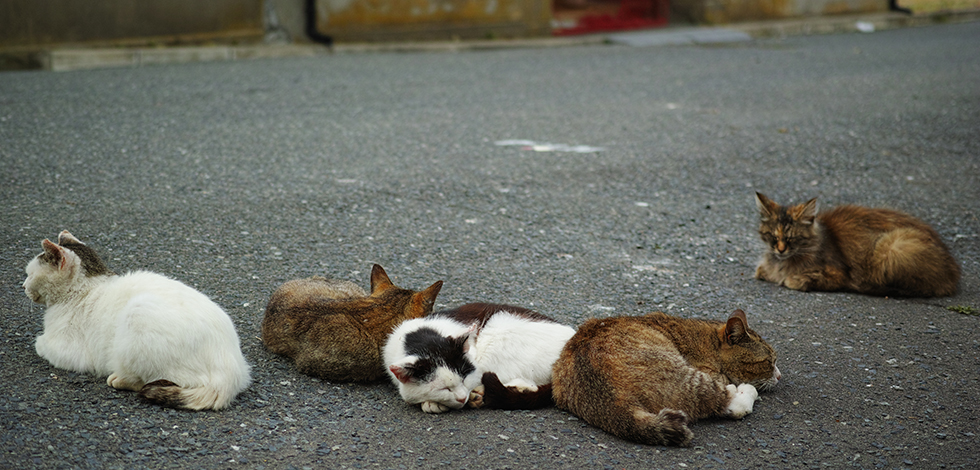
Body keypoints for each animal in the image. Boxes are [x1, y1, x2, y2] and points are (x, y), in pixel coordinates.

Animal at [24, 231, 253, 412]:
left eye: (30, 274)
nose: (23, 285)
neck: (86, 287)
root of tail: (231, 374)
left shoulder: (68, 351)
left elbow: (39, 343)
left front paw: (38, 341)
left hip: (138, 316)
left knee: (148, 380)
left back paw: (119, 379)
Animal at [382, 302, 580, 414]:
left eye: (464, 379)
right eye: (444, 388)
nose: (462, 398)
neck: (421, 337)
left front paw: (432, 404)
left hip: (499, 333)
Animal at [552, 310, 780, 446]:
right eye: (769, 362)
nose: (779, 376)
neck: (708, 340)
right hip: (689, 379)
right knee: (728, 403)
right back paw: (742, 391)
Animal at [756, 192, 956, 298]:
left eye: (792, 238)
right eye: (772, 236)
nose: (781, 250)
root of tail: (953, 272)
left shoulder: (838, 274)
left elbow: (797, 279)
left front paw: (792, 279)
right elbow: (761, 271)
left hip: (893, 247)